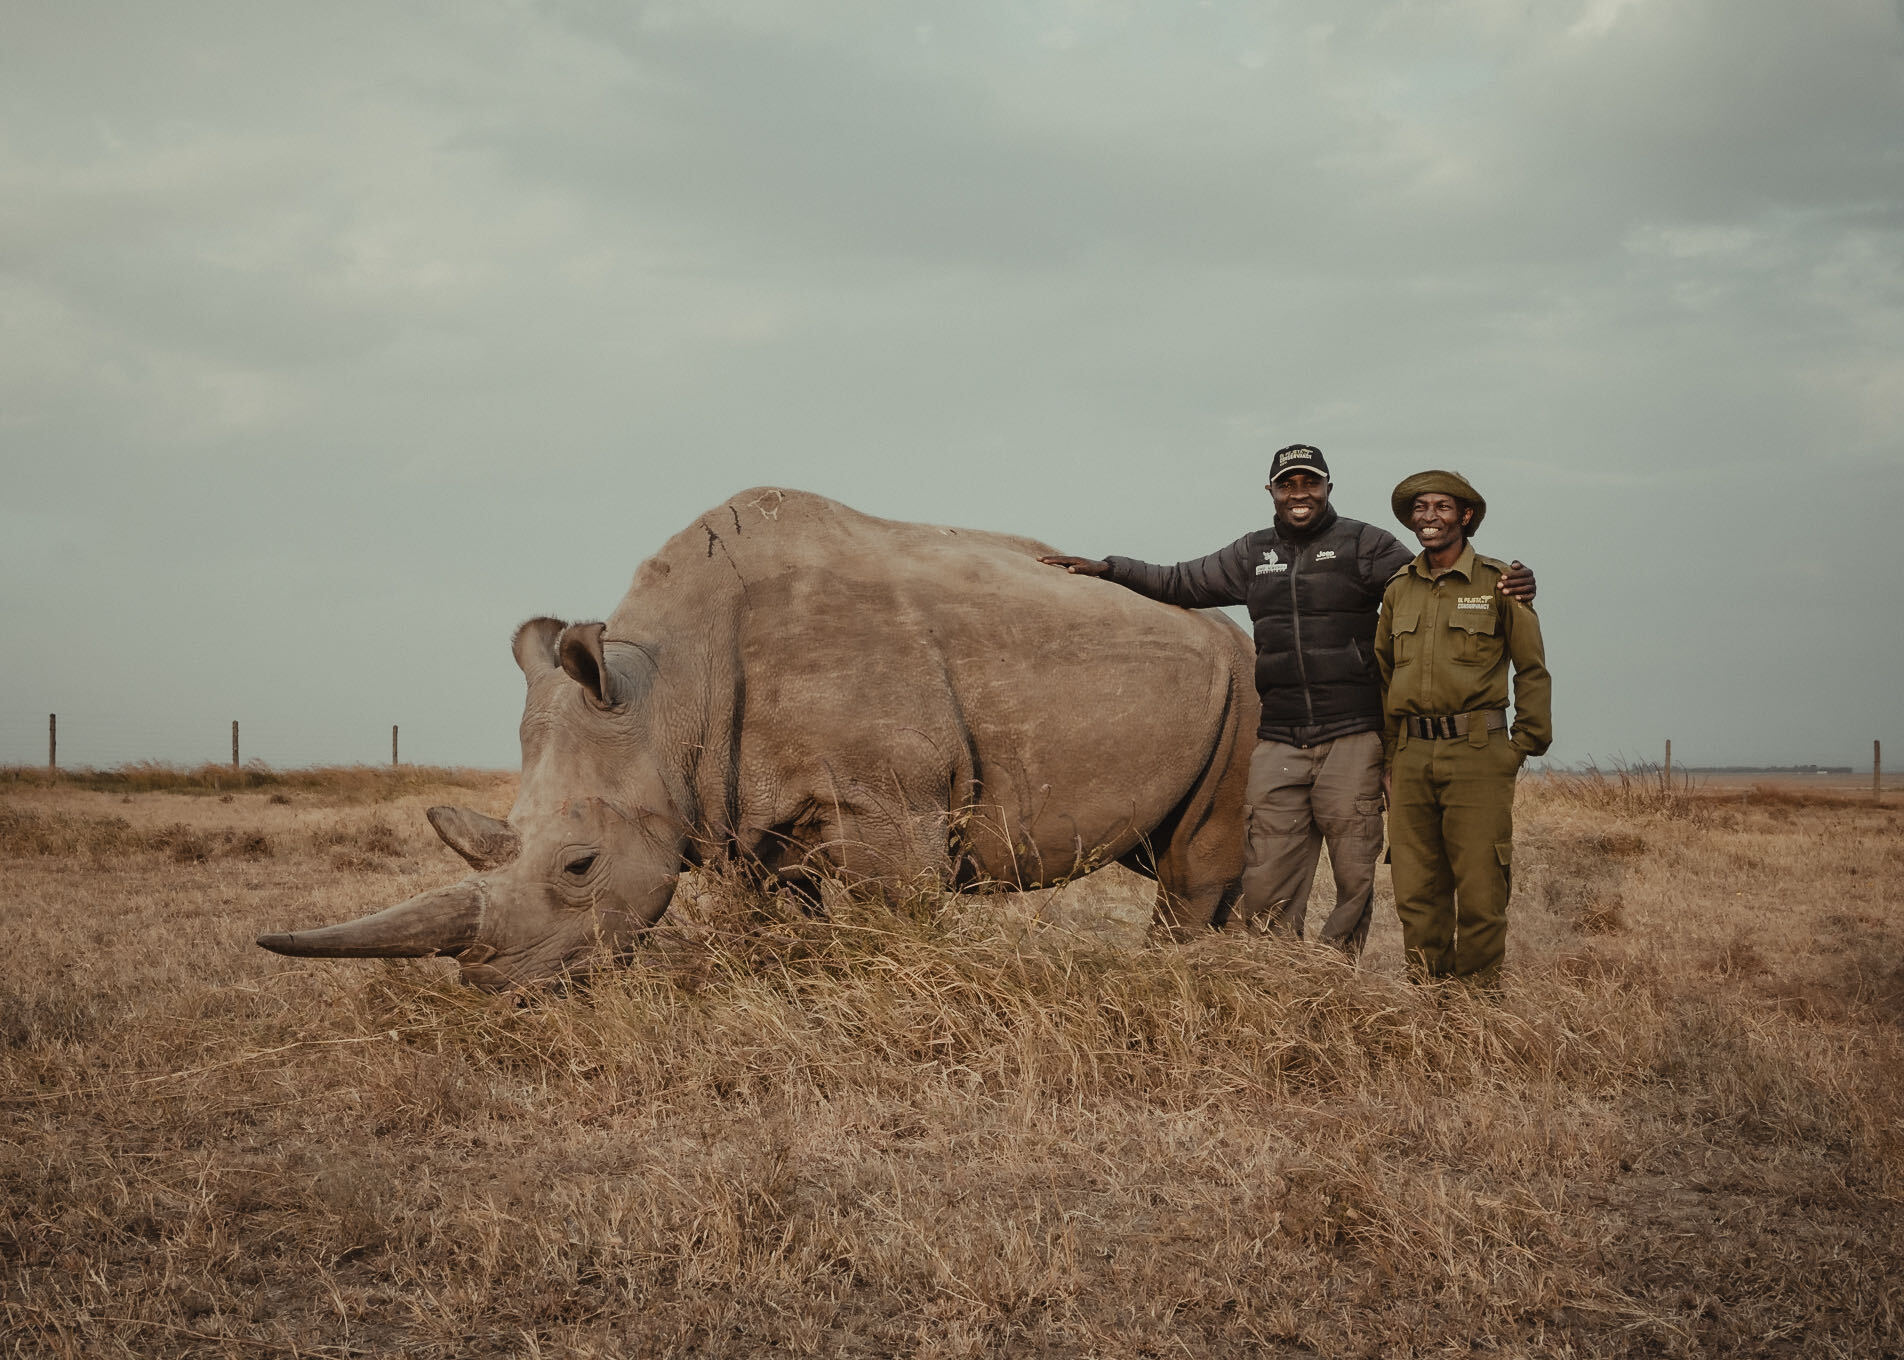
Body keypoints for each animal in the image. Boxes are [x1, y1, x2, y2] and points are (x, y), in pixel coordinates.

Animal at [258, 488, 1257, 990]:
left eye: (579, 866)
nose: (494, 984)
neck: (666, 691)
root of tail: (1226, 631)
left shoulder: (890, 801)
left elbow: (897, 915)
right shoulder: (739, 804)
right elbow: (779, 911)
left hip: (1244, 680)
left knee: (1194, 857)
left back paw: (1175, 975)